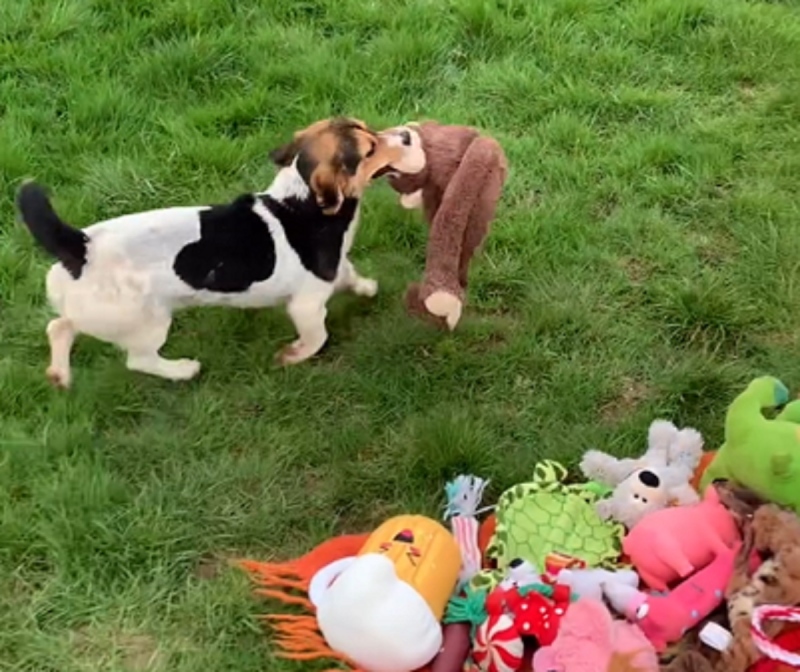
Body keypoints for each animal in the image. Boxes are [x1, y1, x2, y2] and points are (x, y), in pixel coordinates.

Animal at [18, 118, 406, 386]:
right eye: (369, 148)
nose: (403, 136)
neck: (300, 202)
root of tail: (80, 246)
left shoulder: (334, 270)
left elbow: (350, 275)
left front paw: (367, 287)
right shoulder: (306, 305)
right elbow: (316, 336)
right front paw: (291, 356)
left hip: (98, 313)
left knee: (59, 326)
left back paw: (60, 375)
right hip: (148, 323)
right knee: (139, 360)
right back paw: (183, 371)